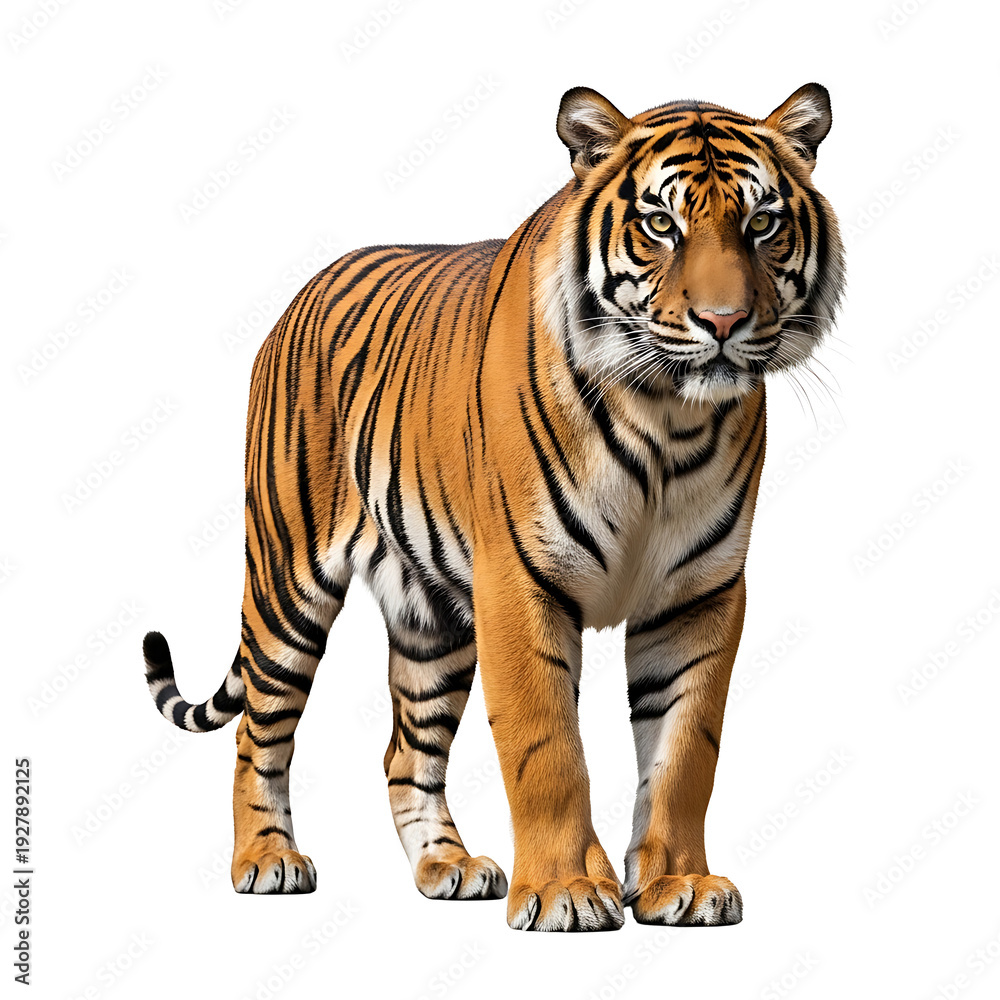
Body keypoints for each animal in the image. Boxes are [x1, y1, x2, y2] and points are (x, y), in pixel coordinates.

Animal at [143, 82, 844, 931]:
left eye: (763, 224)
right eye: (659, 225)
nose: (723, 323)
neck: (667, 418)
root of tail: (305, 291)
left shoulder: (700, 593)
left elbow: (685, 751)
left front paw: (680, 884)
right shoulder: (519, 581)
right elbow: (547, 747)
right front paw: (566, 891)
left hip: (431, 621)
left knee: (405, 752)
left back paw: (448, 866)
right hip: (288, 581)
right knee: (258, 728)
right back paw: (267, 860)